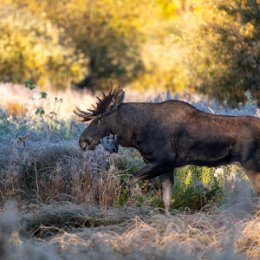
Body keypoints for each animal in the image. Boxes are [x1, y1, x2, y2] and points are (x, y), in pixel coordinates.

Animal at [74, 87, 260, 211]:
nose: (83, 141)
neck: (136, 132)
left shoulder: (162, 162)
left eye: (100, 118)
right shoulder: (168, 167)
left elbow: (130, 180)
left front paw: (137, 202)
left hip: (251, 164)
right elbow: (166, 201)